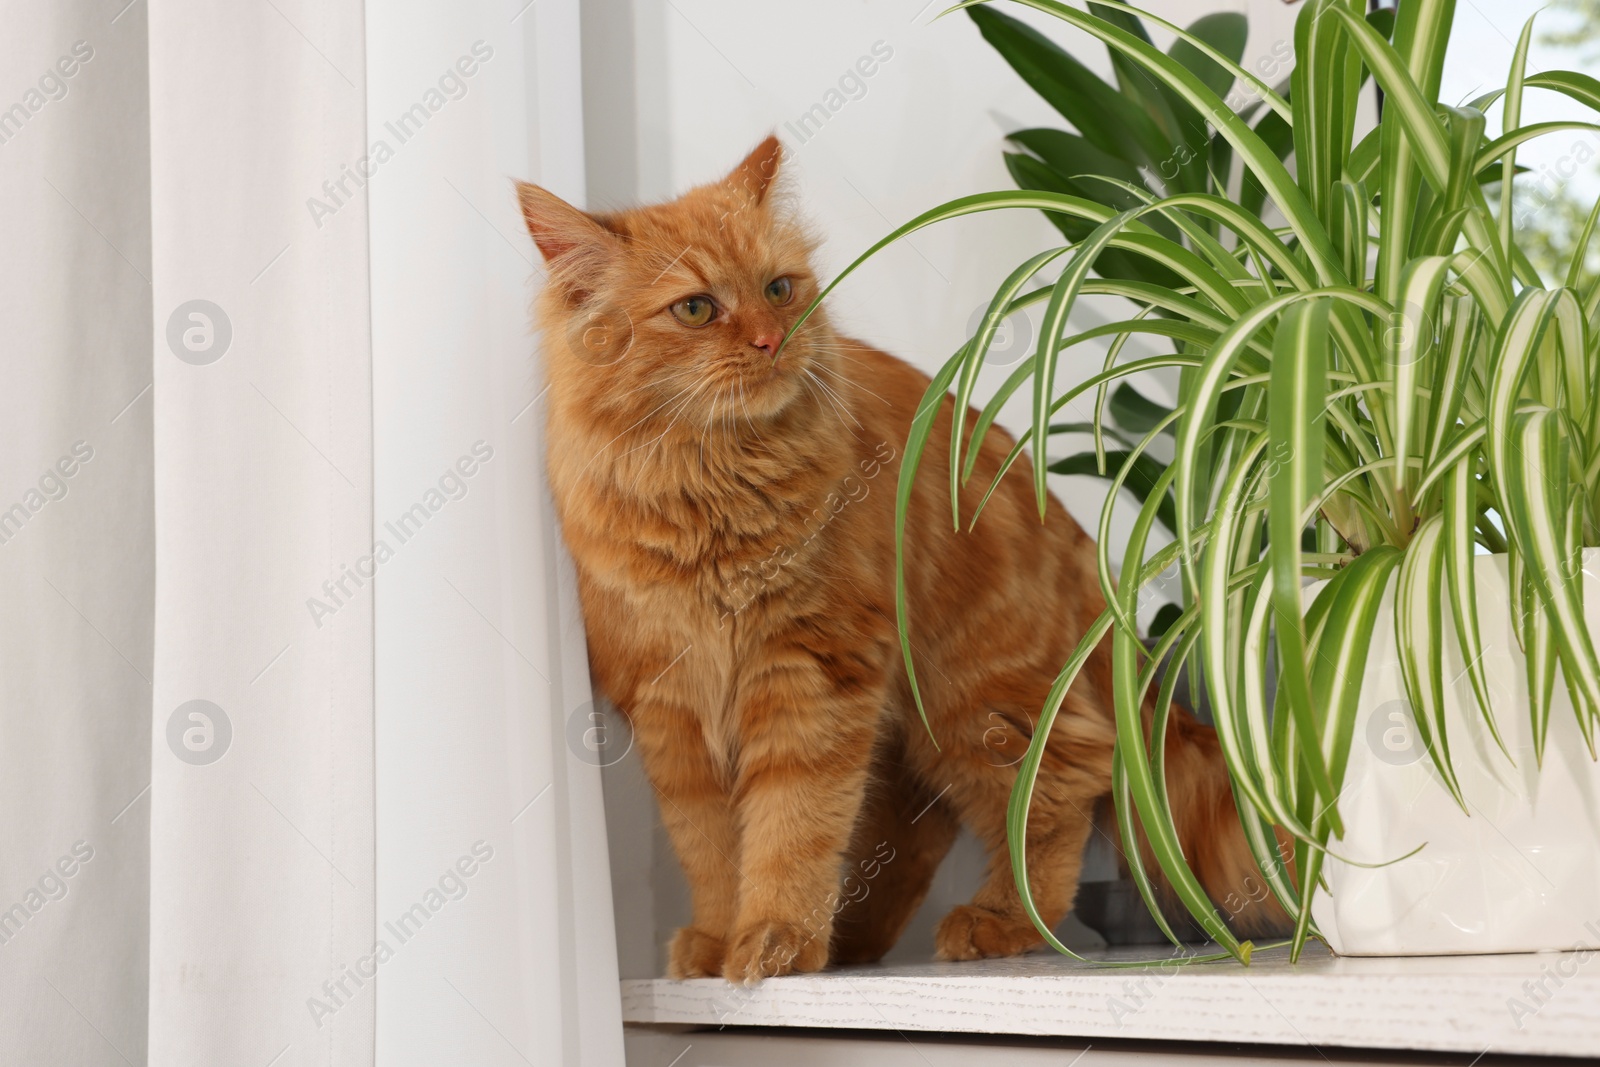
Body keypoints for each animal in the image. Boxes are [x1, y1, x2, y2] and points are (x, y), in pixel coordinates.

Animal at [518, 139, 1280, 985]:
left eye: (779, 290)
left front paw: (774, 938)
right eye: (696, 309)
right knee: (921, 824)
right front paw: (720, 942)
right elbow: (713, 847)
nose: (771, 340)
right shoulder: (672, 706)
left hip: (976, 697)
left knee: (1060, 788)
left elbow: (791, 828)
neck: (711, 486)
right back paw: (851, 939)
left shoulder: (812, 671)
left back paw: (1001, 920)